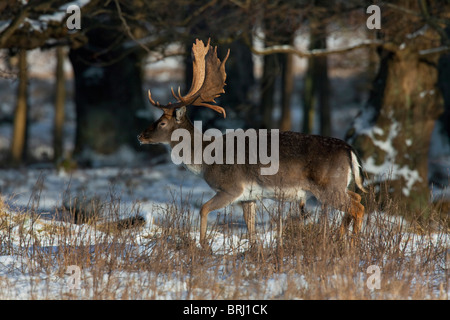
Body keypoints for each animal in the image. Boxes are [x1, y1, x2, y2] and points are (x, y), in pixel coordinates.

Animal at [139, 38, 368, 249]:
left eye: (162, 122)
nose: (140, 135)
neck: (205, 160)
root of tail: (349, 150)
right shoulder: (248, 197)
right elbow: (250, 227)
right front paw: (253, 250)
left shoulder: (231, 188)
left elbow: (203, 209)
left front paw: (203, 245)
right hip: (340, 184)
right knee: (357, 198)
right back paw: (340, 238)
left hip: (328, 186)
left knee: (357, 207)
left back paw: (353, 244)